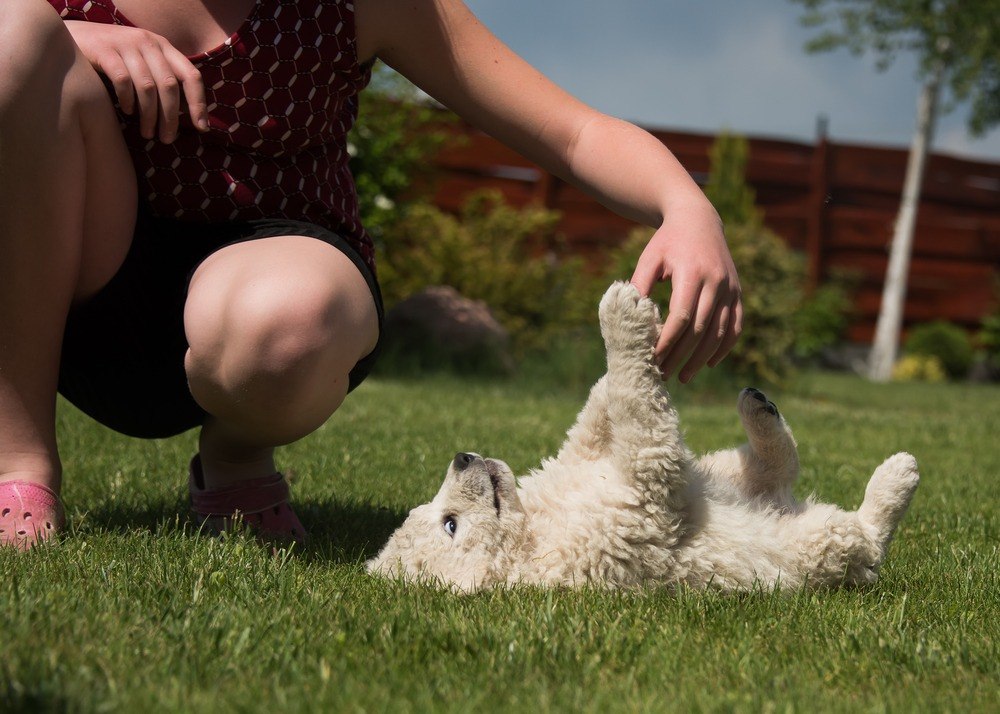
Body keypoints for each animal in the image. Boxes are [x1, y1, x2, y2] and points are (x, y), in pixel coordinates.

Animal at [370, 282, 920, 588]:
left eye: (440, 516)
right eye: (450, 525)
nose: (462, 457)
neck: (536, 524)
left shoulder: (581, 460)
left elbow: (598, 414)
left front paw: (627, 320)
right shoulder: (638, 495)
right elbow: (639, 410)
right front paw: (625, 313)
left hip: (719, 473)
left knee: (771, 464)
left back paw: (759, 407)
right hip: (813, 546)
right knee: (863, 537)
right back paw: (897, 476)